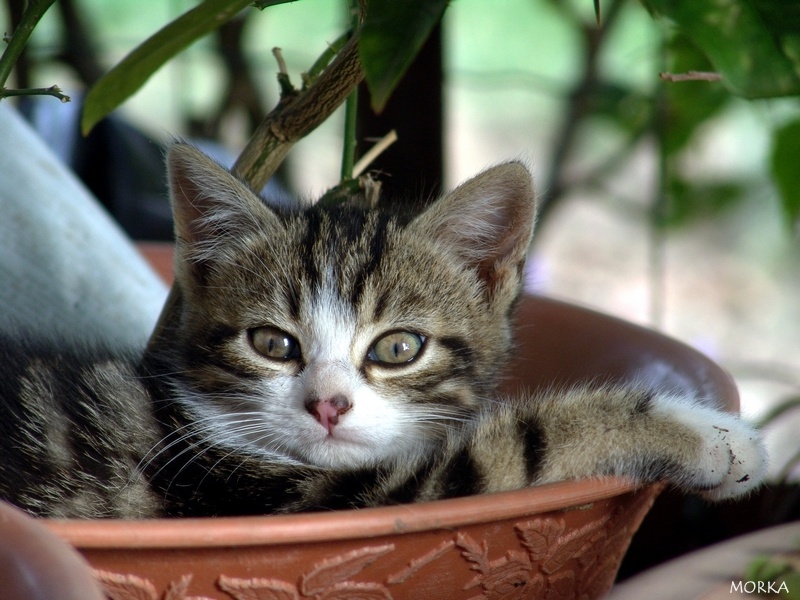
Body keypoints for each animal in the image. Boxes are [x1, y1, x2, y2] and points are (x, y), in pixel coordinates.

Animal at [0, 143, 764, 516]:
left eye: (399, 348)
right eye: (272, 344)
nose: (328, 405)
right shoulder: (264, 494)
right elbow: (524, 444)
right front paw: (707, 436)